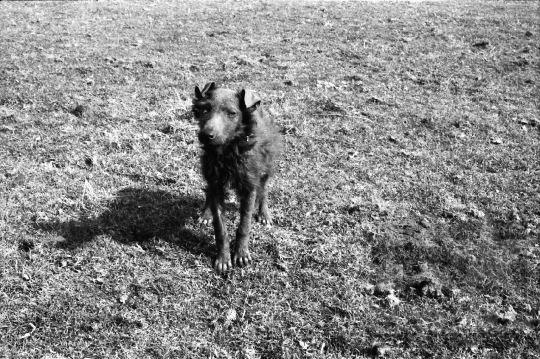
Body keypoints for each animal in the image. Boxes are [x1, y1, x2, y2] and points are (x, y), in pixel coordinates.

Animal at [192, 82, 280, 272]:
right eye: (205, 110)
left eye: (232, 113)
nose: (206, 135)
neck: (229, 150)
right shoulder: (215, 182)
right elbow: (220, 228)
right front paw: (223, 258)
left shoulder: (249, 187)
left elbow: (244, 225)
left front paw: (241, 254)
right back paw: (206, 213)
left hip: (266, 165)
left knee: (264, 189)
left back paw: (264, 213)